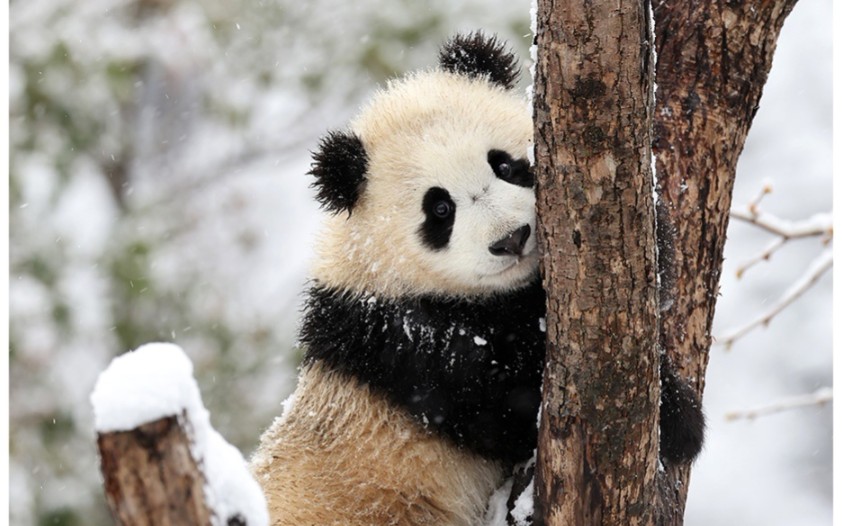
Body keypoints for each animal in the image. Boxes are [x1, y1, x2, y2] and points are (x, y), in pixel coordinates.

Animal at [251, 32, 704, 526]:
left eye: (504, 166)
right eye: (440, 209)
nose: (512, 239)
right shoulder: (401, 341)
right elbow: (506, 400)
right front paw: (680, 421)